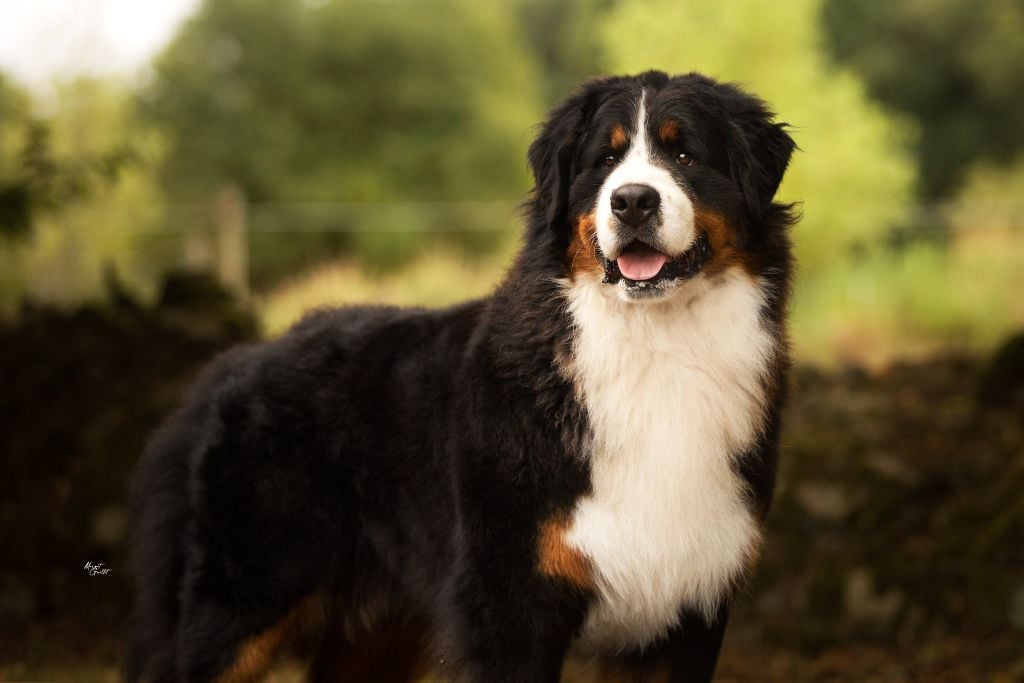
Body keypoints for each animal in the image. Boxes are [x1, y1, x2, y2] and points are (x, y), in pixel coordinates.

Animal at [128, 70, 794, 683]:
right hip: (241, 600)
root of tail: (240, 359)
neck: (655, 347)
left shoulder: (688, 609)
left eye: (684, 155)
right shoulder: (509, 606)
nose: (631, 200)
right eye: (605, 160)